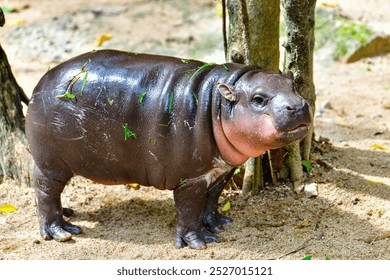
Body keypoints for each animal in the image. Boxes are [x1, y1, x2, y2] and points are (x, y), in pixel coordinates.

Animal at [25, 49, 310, 248]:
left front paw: (219, 224)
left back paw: (68, 214)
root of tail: (43, 79)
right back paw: (62, 231)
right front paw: (199, 242)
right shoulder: (190, 178)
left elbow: (211, 200)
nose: (298, 106)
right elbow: (189, 209)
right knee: (45, 190)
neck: (217, 103)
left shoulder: (222, 171)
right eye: (258, 99)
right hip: (51, 162)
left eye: (293, 85)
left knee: (49, 193)